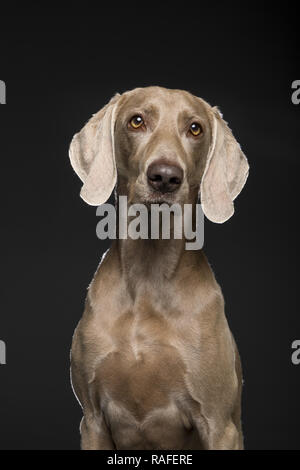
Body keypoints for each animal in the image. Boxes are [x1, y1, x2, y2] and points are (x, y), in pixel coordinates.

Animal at [69, 86, 250, 450]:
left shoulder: (219, 424)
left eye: (195, 128)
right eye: (136, 121)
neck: (148, 278)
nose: (165, 177)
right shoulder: (92, 420)